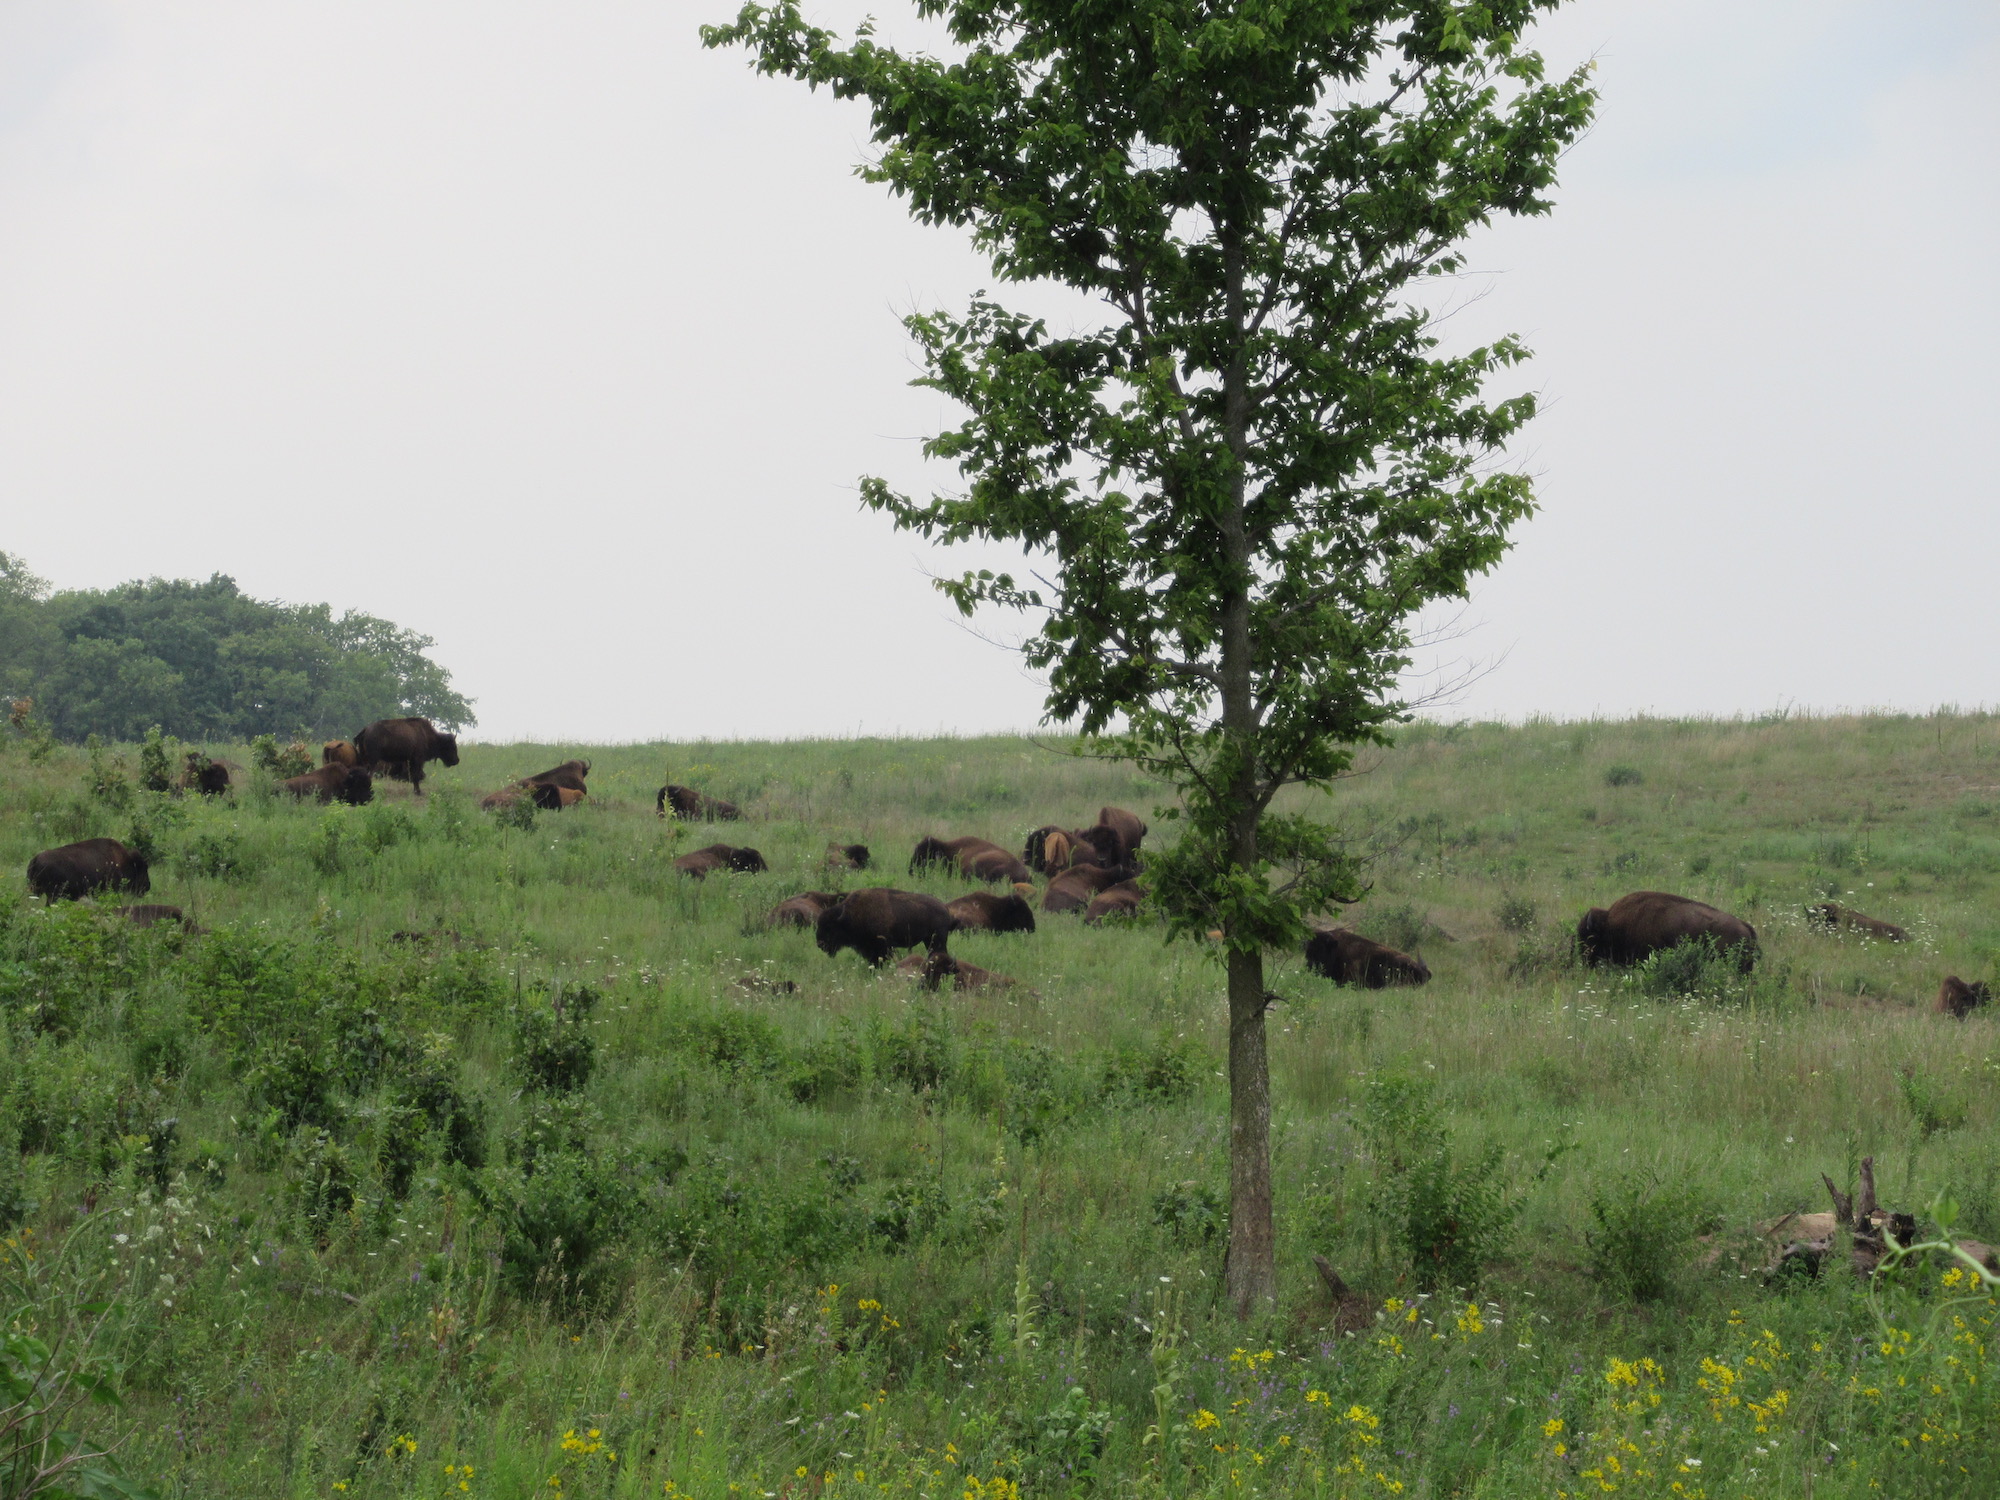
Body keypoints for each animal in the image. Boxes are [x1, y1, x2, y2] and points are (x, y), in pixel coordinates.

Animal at [815, 888, 955, 966]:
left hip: (937, 940)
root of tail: (945, 908)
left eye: (829, 927)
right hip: (928, 941)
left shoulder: (882, 947)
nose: (820, 944)